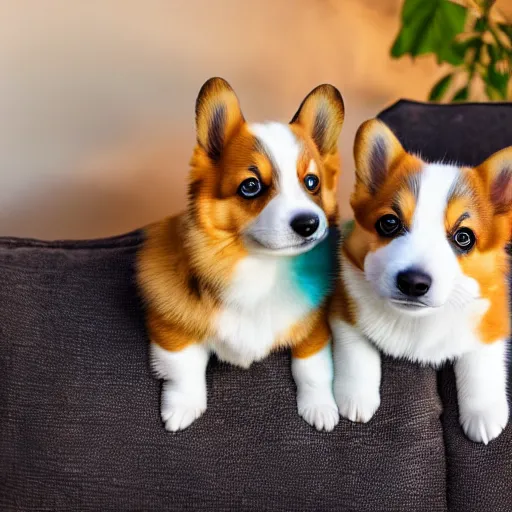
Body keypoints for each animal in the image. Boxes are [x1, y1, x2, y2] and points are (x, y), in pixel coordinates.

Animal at [136, 77, 344, 432]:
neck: (263, 266)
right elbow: (183, 368)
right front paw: (182, 409)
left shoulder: (315, 328)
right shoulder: (169, 324)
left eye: (311, 182)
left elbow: (312, 367)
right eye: (251, 186)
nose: (309, 224)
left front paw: (320, 408)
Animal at [330, 119, 510, 444]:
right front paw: (357, 395)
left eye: (464, 237)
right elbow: (355, 348)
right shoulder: (342, 304)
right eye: (389, 223)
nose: (413, 283)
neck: (417, 321)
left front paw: (483, 413)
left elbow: (481, 361)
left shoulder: (494, 314)